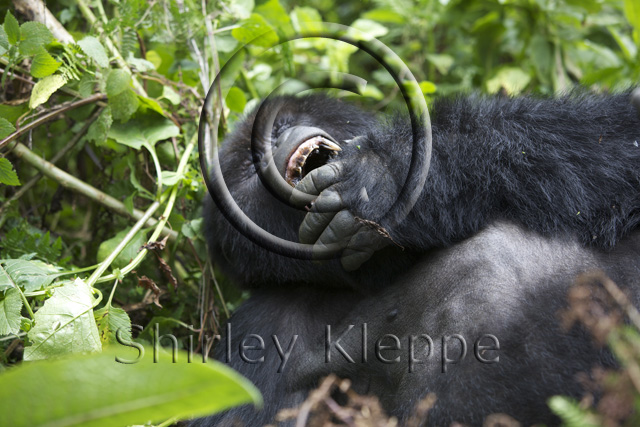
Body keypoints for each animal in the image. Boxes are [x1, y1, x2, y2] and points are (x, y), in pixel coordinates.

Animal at [194, 88, 640, 426]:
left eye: (280, 125)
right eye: (247, 167)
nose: (271, 146)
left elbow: (615, 139)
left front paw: (384, 173)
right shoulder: (258, 337)